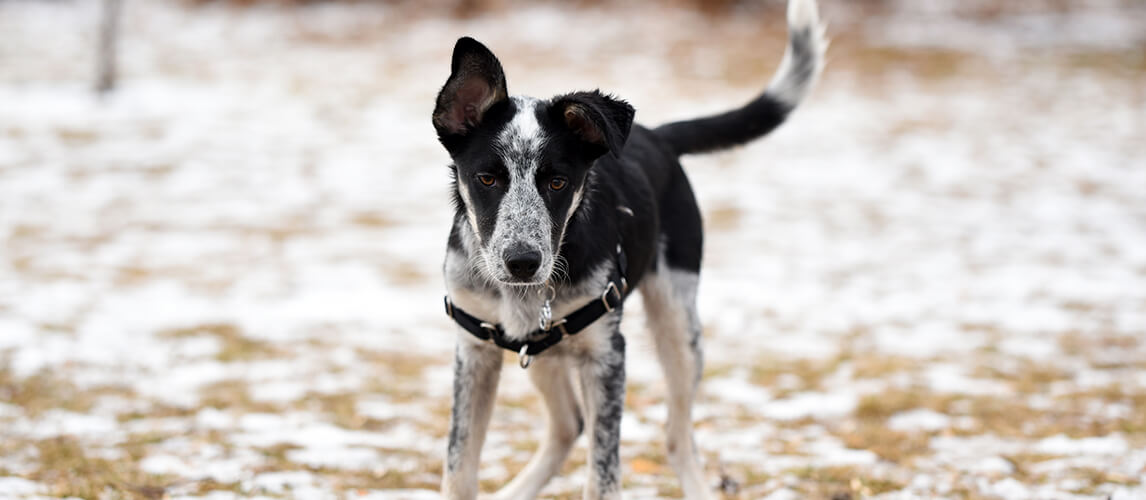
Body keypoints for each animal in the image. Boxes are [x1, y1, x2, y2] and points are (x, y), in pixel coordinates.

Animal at [435, 1, 825, 497]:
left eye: (558, 182)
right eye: (486, 178)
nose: (523, 262)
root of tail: (657, 135)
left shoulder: (606, 354)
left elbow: (602, 476)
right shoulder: (475, 351)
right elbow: (458, 466)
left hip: (679, 327)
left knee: (677, 437)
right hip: (542, 350)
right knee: (568, 424)